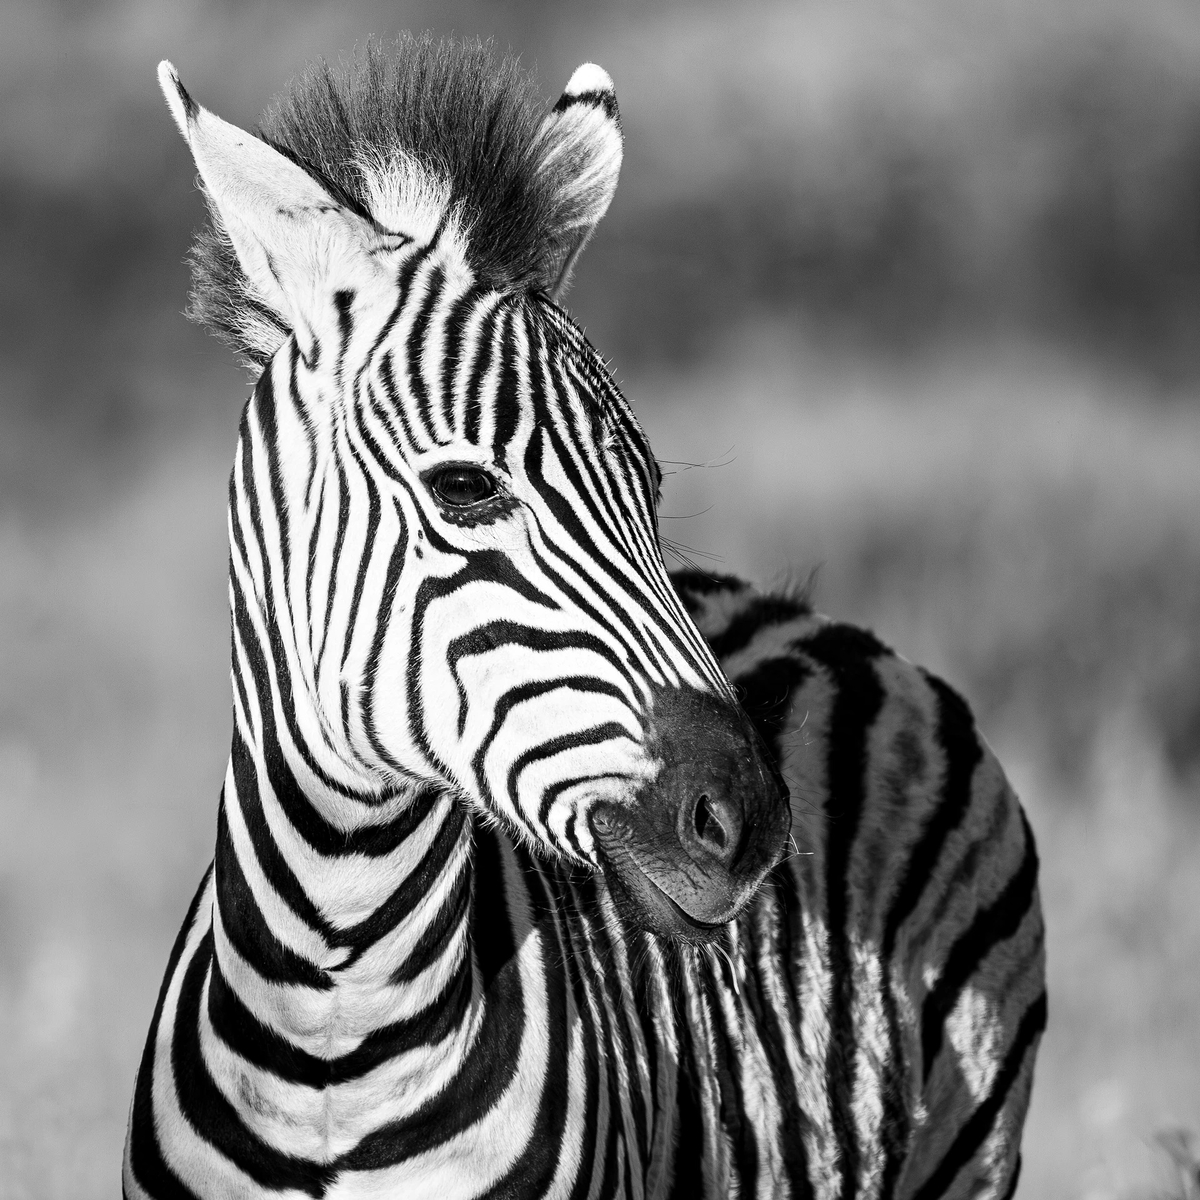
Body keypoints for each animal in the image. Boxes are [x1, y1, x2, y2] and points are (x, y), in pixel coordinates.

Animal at [124, 36, 1045, 1200]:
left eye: (646, 492)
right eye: (465, 488)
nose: (749, 825)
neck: (334, 1021)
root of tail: (809, 615)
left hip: (970, 1145)